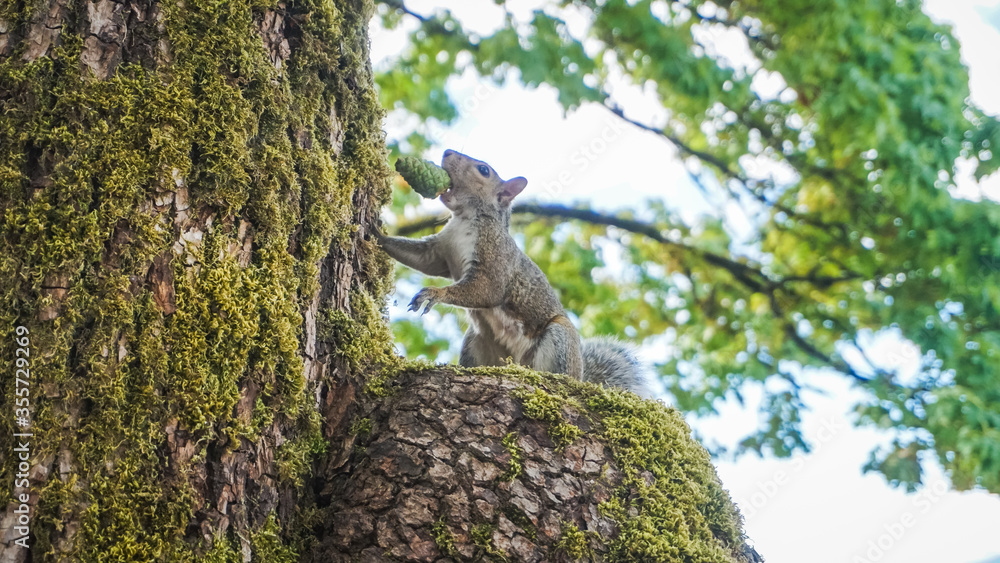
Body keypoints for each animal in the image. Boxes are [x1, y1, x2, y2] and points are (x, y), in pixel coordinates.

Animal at [376, 149, 649, 397]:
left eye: (484, 170)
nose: (447, 152)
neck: (466, 219)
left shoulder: (496, 258)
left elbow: (487, 290)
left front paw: (434, 293)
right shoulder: (439, 250)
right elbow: (423, 260)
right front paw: (376, 233)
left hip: (559, 338)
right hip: (475, 343)